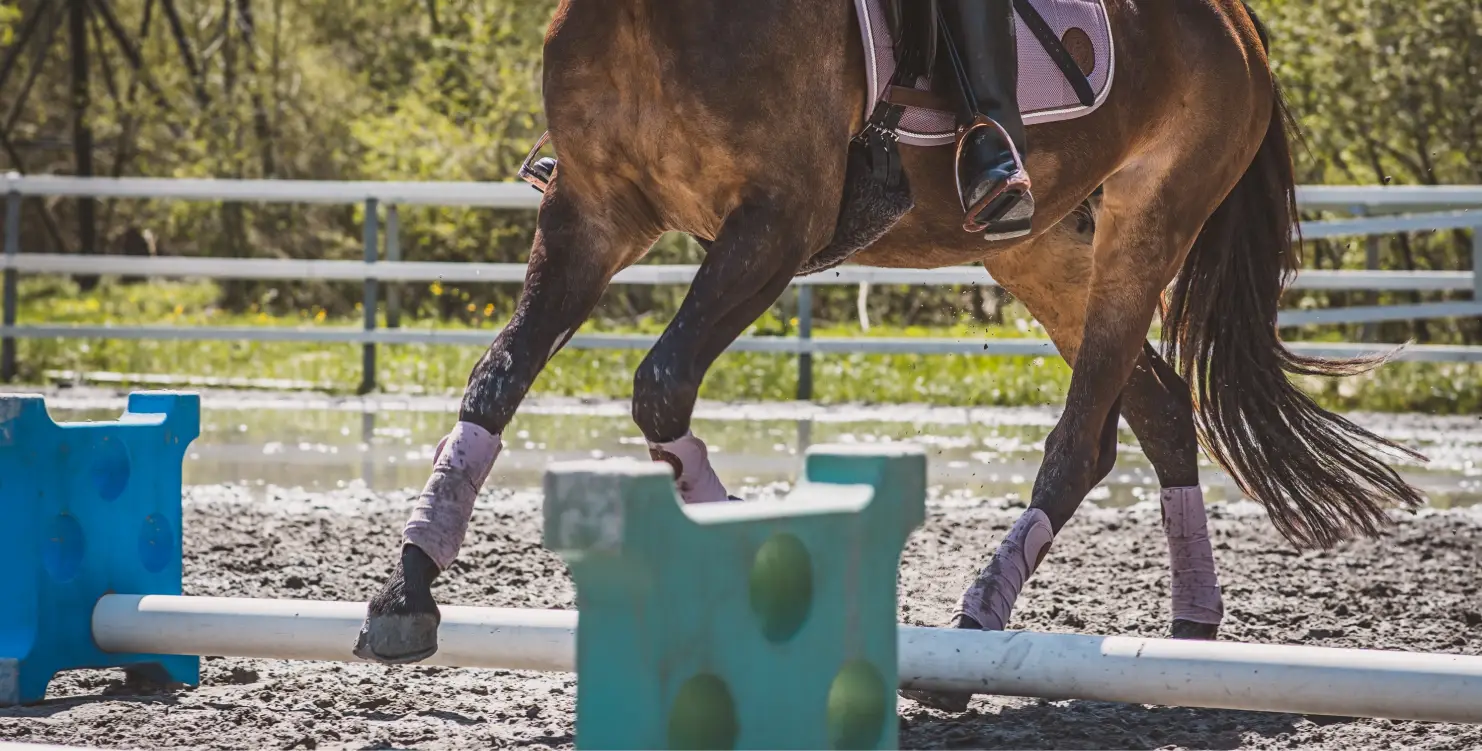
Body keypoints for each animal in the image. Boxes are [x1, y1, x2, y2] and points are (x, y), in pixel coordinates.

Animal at [351, 0, 1426, 711]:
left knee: (1082, 439)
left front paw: (763, 584)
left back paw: (982, 618)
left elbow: (659, 388)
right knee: (1156, 413)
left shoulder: (776, 220)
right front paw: (409, 583)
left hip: (1149, 219)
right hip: (1040, 246)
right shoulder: (592, 213)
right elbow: (496, 379)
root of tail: (1242, 24)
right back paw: (1192, 625)